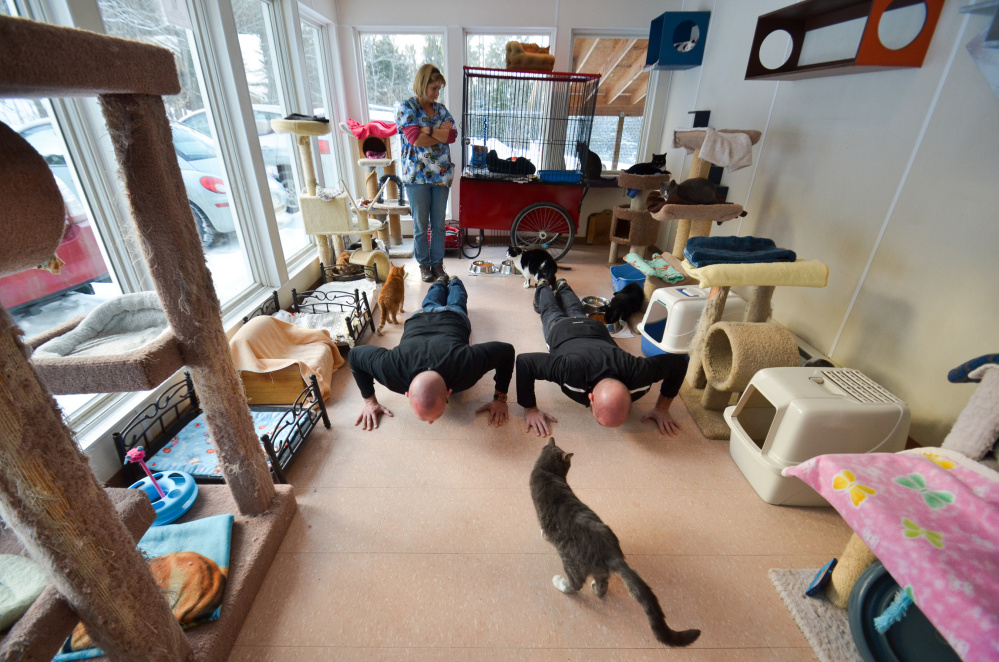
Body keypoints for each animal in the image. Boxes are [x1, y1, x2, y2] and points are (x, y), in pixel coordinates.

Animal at [532, 438, 704, 652]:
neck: (548, 472)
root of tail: (611, 552)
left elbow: (544, 531)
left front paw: (542, 535)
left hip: (570, 561)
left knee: (575, 584)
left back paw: (561, 583)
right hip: (598, 569)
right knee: (602, 583)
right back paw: (596, 588)